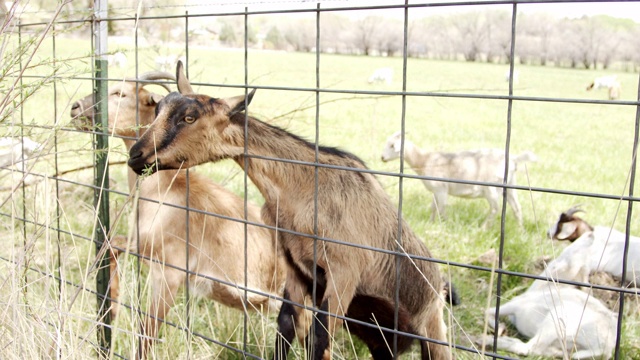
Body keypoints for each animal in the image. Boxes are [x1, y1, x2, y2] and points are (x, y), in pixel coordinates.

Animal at [70, 70, 288, 358]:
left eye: (120, 93)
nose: (75, 109)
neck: (166, 191)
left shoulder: (169, 273)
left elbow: (147, 335)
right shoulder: (143, 248)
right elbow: (112, 243)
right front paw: (113, 305)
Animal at [127, 62, 452, 360]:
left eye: (189, 117)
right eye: (157, 110)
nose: (135, 156)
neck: (302, 190)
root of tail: (440, 287)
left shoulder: (344, 271)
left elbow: (319, 339)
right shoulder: (293, 266)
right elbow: (285, 327)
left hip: (432, 329)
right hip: (381, 340)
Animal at [382, 131, 536, 228]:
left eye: (392, 145)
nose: (382, 158)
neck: (424, 160)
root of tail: (514, 159)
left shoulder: (441, 189)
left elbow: (441, 208)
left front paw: (447, 223)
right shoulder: (436, 190)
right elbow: (434, 207)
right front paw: (431, 222)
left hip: (491, 187)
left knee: (495, 208)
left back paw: (483, 228)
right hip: (510, 184)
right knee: (516, 208)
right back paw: (520, 230)